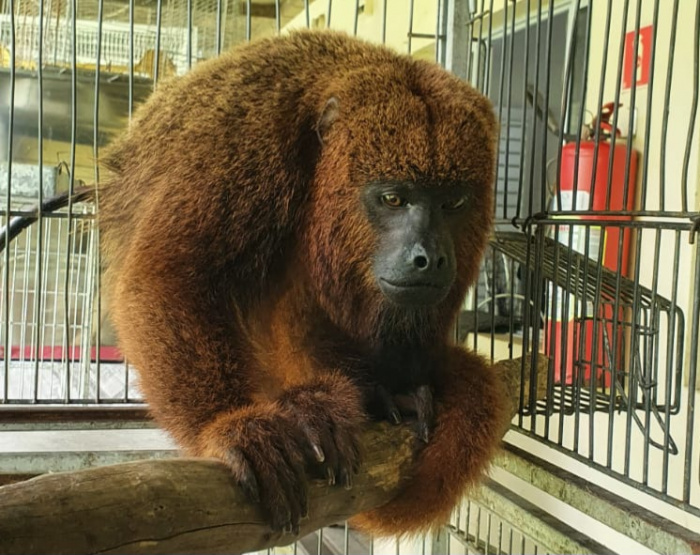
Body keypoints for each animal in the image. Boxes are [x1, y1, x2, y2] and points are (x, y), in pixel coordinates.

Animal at [100, 30, 508, 540]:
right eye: (393, 198)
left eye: (453, 203)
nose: (427, 257)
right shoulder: (244, 139)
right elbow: (167, 274)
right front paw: (228, 425)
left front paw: (399, 388)